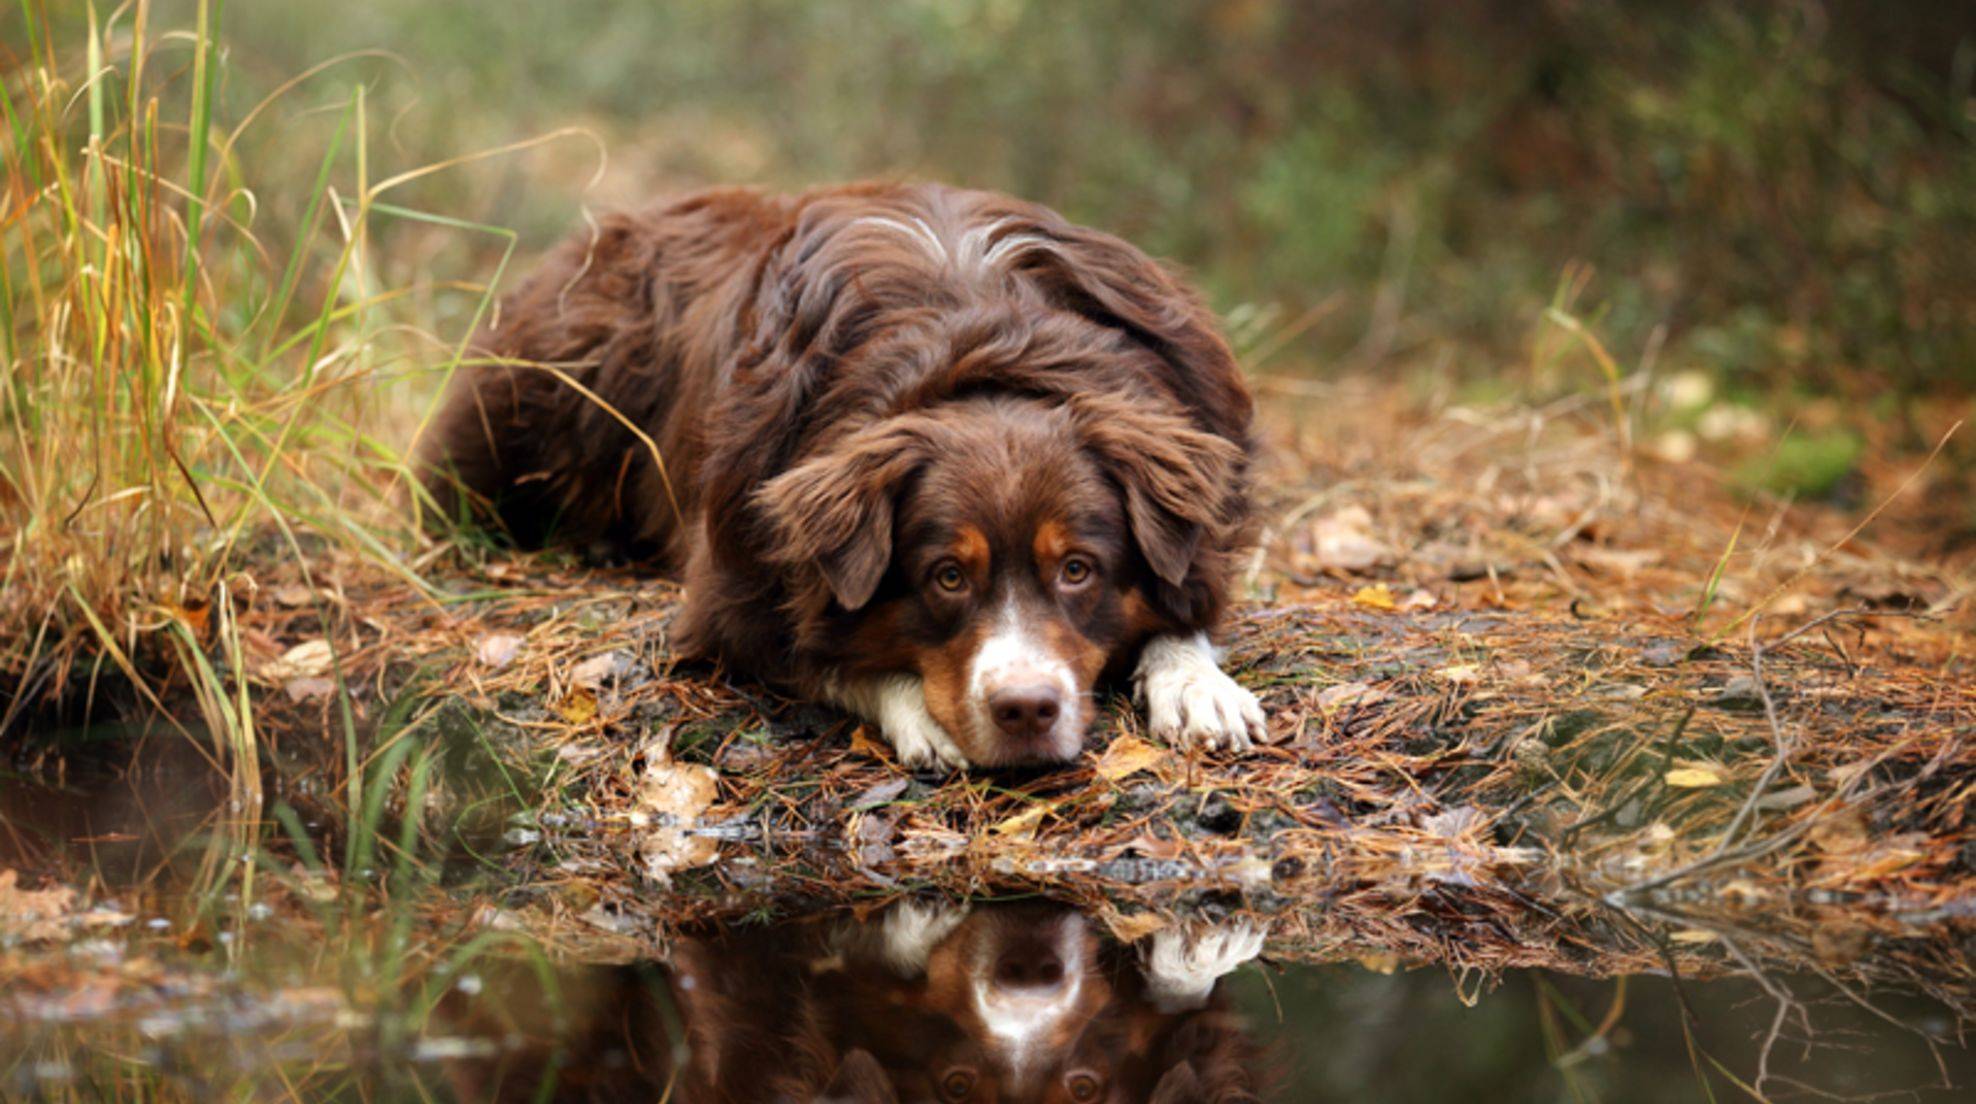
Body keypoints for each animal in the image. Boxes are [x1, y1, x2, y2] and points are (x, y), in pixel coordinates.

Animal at [424, 183, 1264, 770]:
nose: (1026, 711)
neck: (979, 343)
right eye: (947, 576)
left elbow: (1185, 608)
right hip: (535, 394)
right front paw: (918, 709)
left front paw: (1197, 685)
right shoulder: (736, 581)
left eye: (1079, 569)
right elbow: (820, 652)